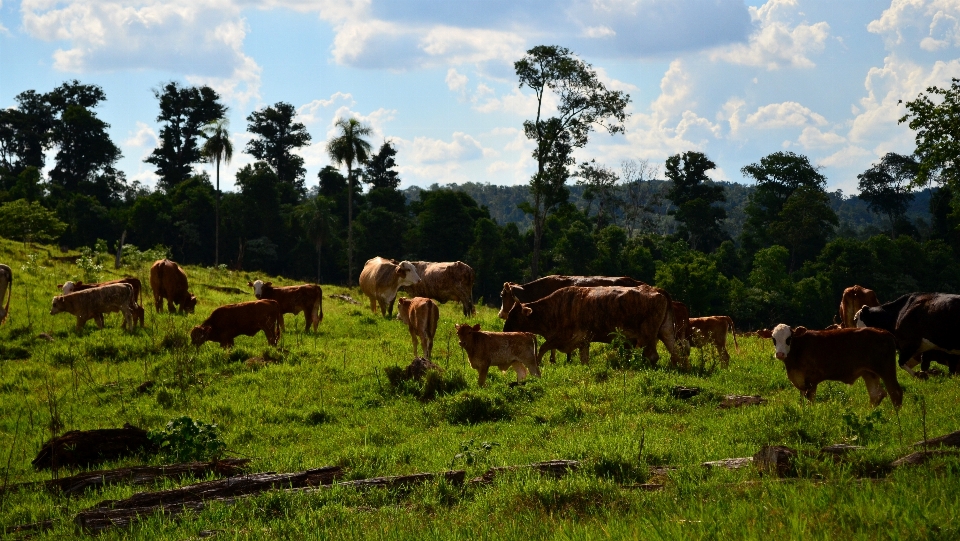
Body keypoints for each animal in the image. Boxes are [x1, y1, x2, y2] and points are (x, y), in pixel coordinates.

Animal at [502, 282, 684, 368]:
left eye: (513, 316)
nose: (504, 331)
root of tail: (656, 289)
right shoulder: (583, 341)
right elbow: (584, 359)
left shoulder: (564, 337)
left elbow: (542, 348)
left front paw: (538, 363)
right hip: (666, 331)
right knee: (676, 352)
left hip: (648, 335)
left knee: (652, 355)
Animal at [756, 322, 900, 408]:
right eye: (774, 339)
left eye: (789, 338)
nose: (780, 354)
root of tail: (885, 333)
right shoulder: (800, 381)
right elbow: (802, 400)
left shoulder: (811, 381)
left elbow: (810, 401)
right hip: (869, 373)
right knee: (877, 394)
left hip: (886, 370)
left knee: (895, 392)